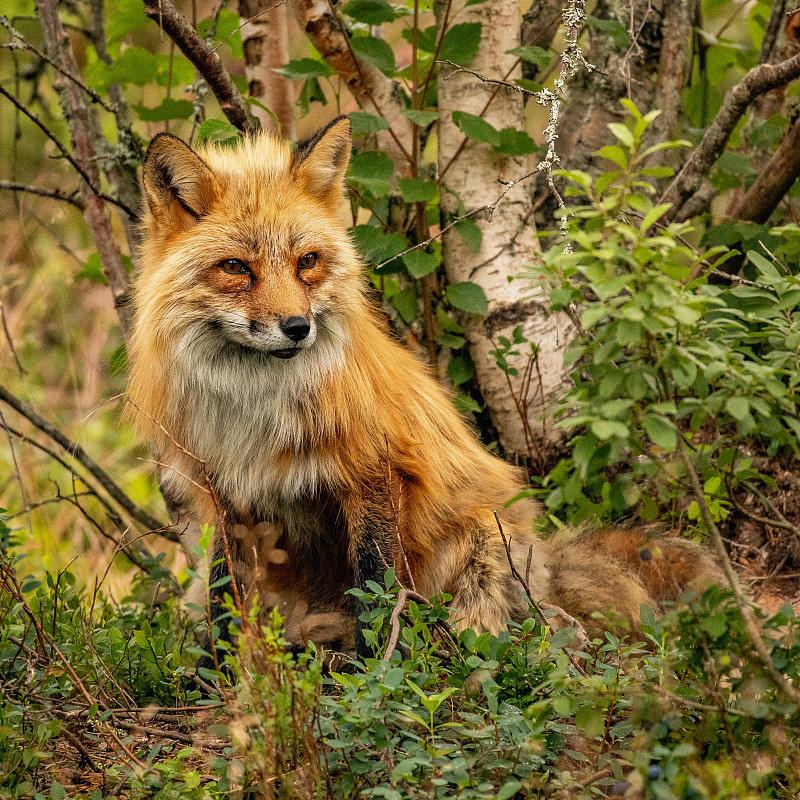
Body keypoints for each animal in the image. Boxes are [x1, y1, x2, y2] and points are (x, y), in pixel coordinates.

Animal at [130, 117, 720, 656]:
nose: (297, 327)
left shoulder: (376, 469)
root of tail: (546, 559)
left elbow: (376, 586)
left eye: (307, 263)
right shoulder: (225, 493)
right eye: (235, 267)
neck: (254, 412)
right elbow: (223, 594)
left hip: (480, 544)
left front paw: (375, 672)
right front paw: (220, 672)